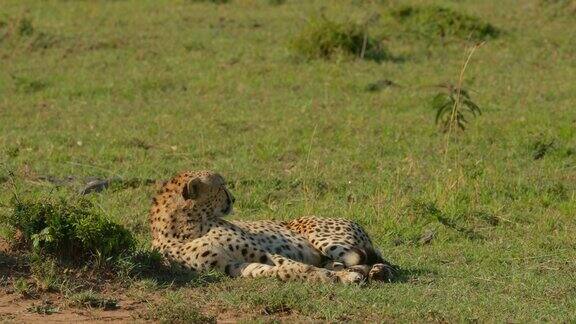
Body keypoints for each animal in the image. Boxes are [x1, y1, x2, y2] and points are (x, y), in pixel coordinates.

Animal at [148, 170, 396, 284]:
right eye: (221, 187)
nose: (233, 198)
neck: (187, 225)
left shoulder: (261, 252)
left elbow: (293, 266)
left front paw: (340, 277)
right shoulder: (231, 265)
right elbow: (282, 271)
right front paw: (338, 276)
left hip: (327, 240)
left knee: (386, 262)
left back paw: (378, 271)